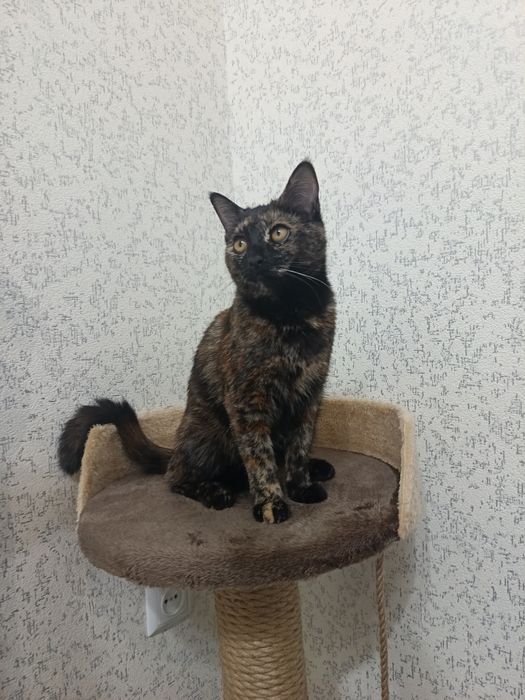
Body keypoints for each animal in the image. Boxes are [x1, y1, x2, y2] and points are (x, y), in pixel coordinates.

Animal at [59, 161, 336, 524]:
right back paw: (215, 491)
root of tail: (177, 444)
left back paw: (316, 468)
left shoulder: (309, 395)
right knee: (176, 476)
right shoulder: (246, 401)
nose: (254, 259)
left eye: (278, 233)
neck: (291, 316)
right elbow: (259, 458)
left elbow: (299, 447)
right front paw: (271, 503)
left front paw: (301, 484)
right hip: (211, 432)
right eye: (239, 244)